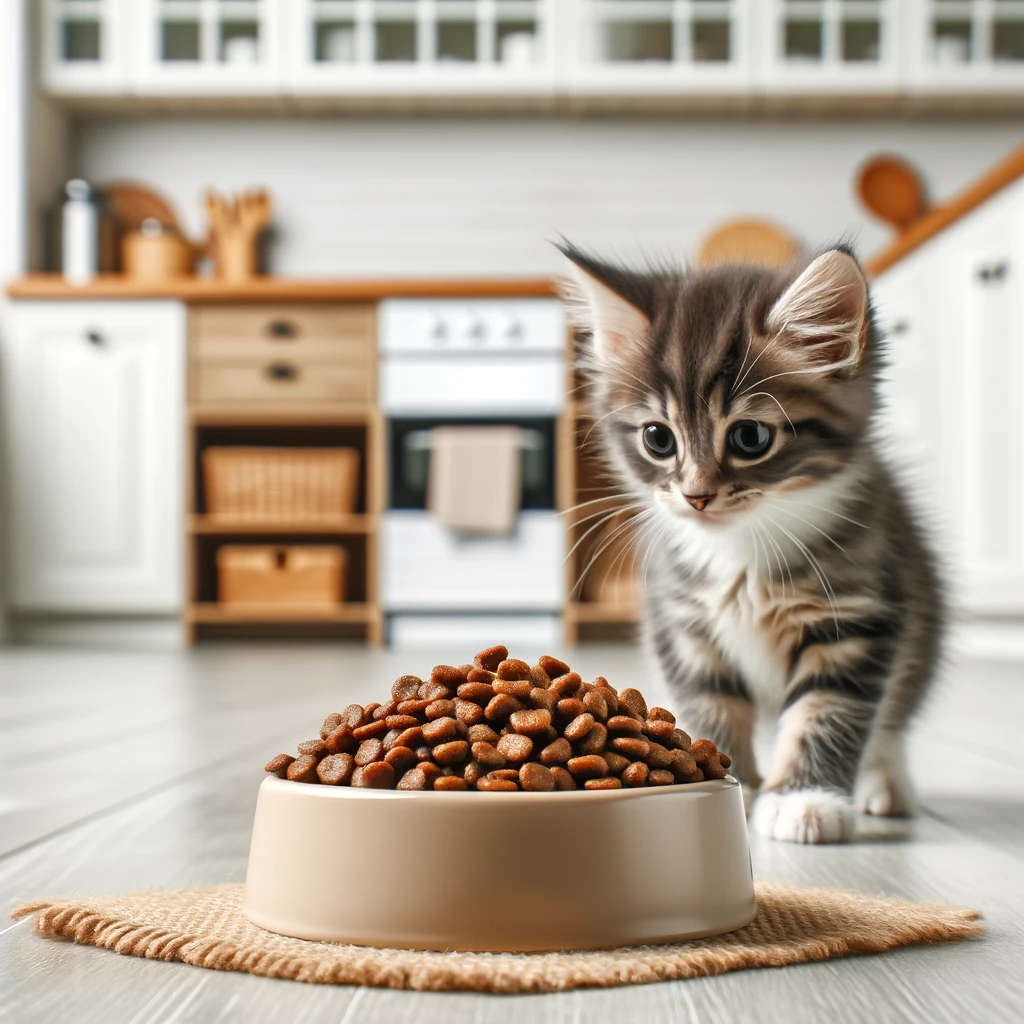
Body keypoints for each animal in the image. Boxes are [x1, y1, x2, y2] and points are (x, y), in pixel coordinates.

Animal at [561, 243, 942, 843]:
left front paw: (805, 800)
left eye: (750, 437)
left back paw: (887, 784)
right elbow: (711, 708)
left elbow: (827, 710)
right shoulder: (684, 624)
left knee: (894, 717)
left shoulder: (859, 613)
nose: (696, 497)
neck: (741, 551)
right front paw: (726, 783)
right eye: (657, 438)